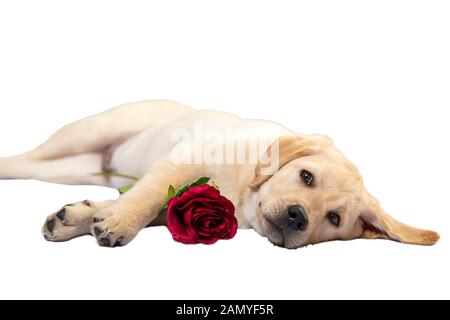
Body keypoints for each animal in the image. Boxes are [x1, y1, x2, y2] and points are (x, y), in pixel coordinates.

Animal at [0, 100, 438, 248]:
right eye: (306, 177)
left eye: (333, 219)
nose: (297, 216)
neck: (243, 195)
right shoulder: (185, 157)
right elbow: (150, 195)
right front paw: (120, 221)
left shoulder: (177, 198)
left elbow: (151, 204)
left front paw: (79, 217)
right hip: (87, 132)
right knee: (26, 158)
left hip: (81, 170)